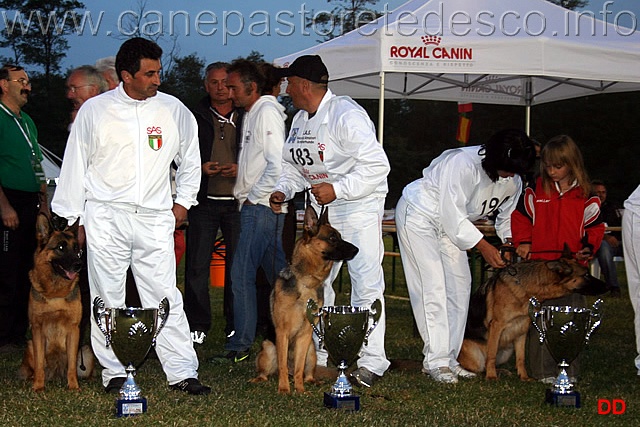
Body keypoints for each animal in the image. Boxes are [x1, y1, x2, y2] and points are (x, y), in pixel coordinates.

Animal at [19, 216, 89, 392]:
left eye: (76, 248)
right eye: (61, 247)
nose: (79, 265)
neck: (56, 294)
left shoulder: (74, 329)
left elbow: (71, 365)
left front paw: (73, 386)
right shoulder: (37, 329)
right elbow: (39, 365)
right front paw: (38, 386)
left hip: (85, 352)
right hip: (30, 345)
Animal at [251, 207, 360, 394]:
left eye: (339, 236)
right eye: (332, 238)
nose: (357, 250)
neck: (306, 282)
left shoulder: (305, 334)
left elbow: (299, 367)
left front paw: (299, 390)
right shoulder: (282, 332)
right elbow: (282, 365)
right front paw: (284, 389)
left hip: (311, 350)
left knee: (304, 371)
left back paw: (311, 381)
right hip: (268, 348)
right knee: (271, 370)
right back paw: (260, 378)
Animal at [458, 251, 608, 382]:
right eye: (586, 274)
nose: (607, 286)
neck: (526, 289)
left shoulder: (521, 330)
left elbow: (521, 358)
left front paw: (523, 377)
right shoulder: (497, 326)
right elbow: (492, 354)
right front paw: (491, 376)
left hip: (508, 350)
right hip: (476, 355)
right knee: (480, 365)